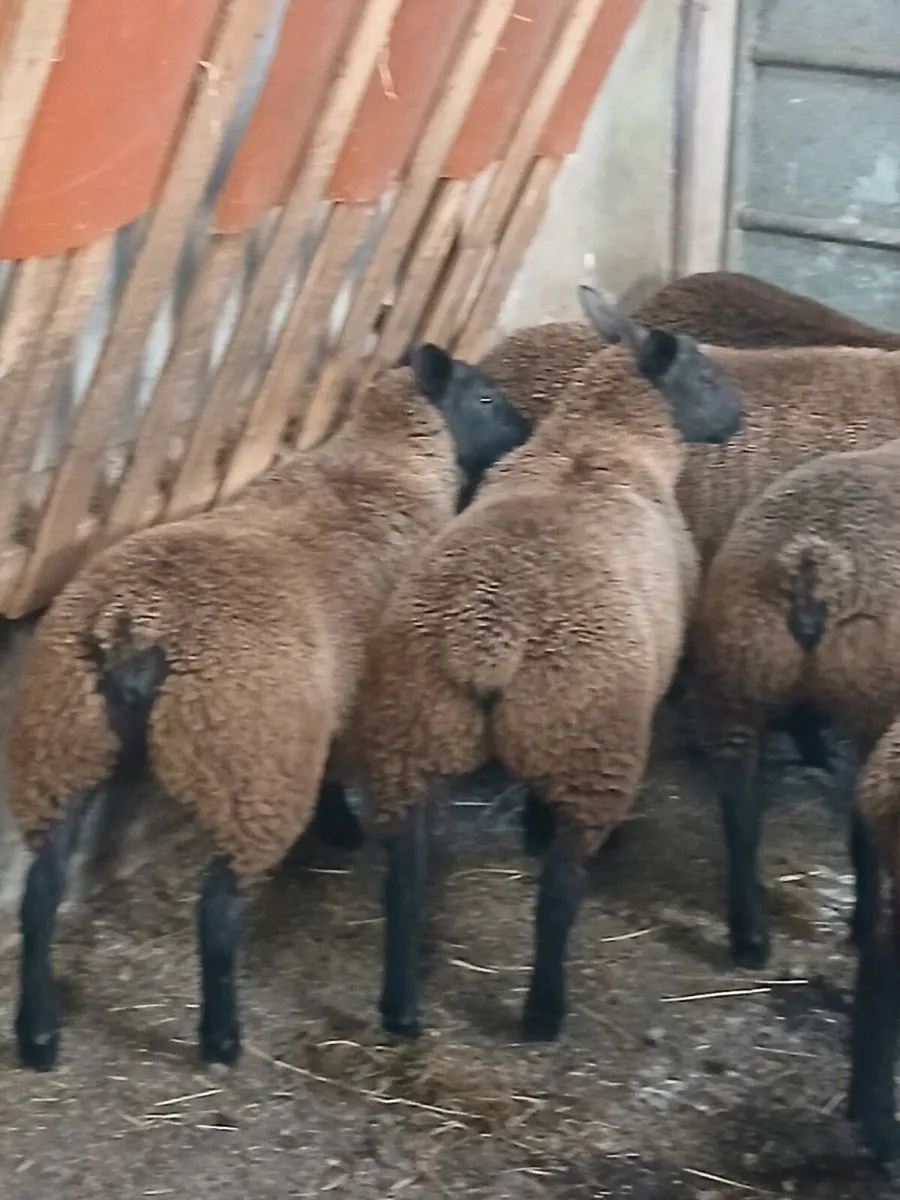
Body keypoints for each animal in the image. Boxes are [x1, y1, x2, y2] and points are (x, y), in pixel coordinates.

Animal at [6, 346, 532, 1073]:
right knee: (218, 909)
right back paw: (221, 1039)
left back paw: (38, 1035)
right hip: (252, 765)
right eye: (484, 398)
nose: (529, 433)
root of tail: (137, 621)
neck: (385, 461)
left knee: (40, 892)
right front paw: (343, 826)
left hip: (65, 739)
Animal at [350, 284, 743, 1042]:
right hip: (589, 739)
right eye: (706, 377)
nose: (740, 417)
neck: (597, 444)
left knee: (403, 883)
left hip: (411, 737)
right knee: (560, 893)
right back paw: (543, 1011)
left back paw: (401, 1009)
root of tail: (489, 637)